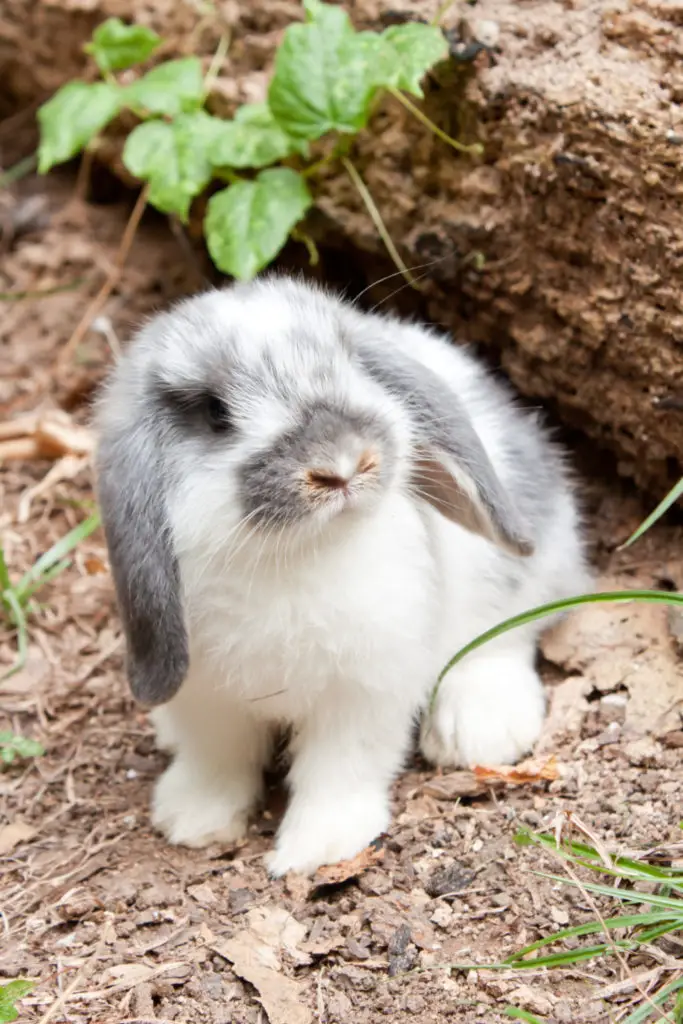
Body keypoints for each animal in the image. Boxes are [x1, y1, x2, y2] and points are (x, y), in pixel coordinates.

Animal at [93, 276, 589, 876]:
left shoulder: (362, 691)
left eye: (347, 362)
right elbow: (219, 758)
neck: (293, 556)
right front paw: (193, 820)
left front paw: (320, 847)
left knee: (507, 632)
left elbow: (339, 768)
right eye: (214, 413)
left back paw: (477, 729)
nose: (343, 463)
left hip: (521, 569)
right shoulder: (208, 698)